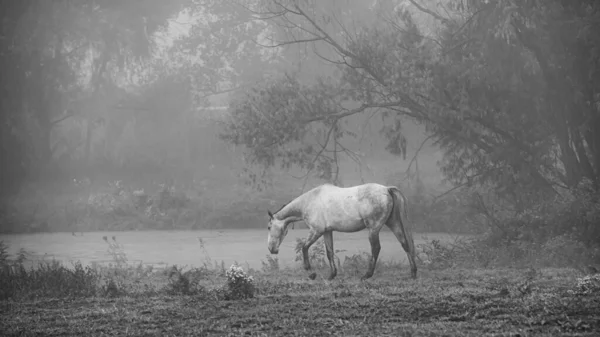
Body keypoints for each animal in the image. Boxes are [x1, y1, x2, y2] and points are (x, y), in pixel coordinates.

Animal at [268, 182, 418, 280]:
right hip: (393, 224)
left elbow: (304, 247)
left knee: (376, 248)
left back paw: (366, 275)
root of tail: (387, 189)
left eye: (269, 227)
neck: (309, 201)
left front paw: (311, 273)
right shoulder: (327, 232)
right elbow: (329, 252)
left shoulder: (316, 231)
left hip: (373, 229)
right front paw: (331, 275)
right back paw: (413, 273)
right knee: (405, 244)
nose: (271, 249)